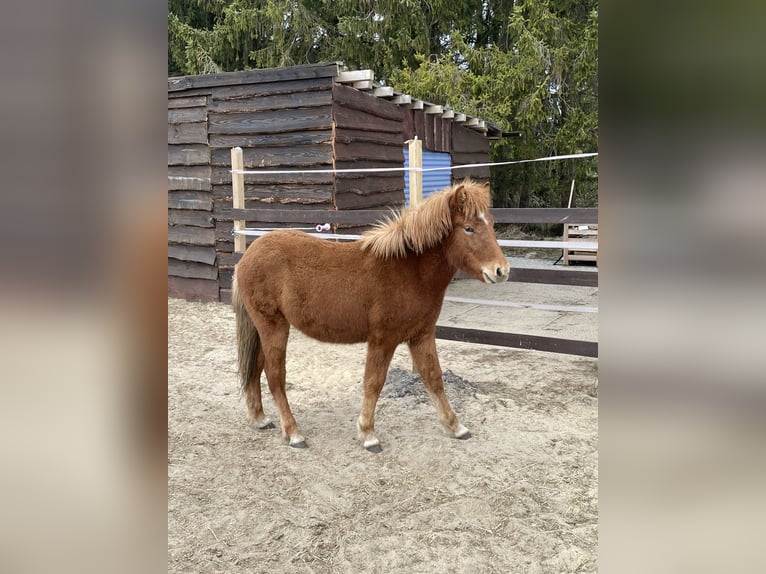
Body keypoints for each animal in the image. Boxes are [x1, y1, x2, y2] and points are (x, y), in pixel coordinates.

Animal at [232, 178, 510, 452]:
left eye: (491, 223)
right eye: (468, 228)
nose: (501, 271)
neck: (410, 270)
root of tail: (247, 256)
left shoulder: (421, 335)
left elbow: (433, 378)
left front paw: (455, 426)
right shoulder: (382, 340)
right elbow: (374, 382)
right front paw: (368, 434)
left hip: (263, 328)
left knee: (256, 368)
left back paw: (259, 418)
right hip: (274, 326)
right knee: (275, 376)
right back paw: (293, 433)